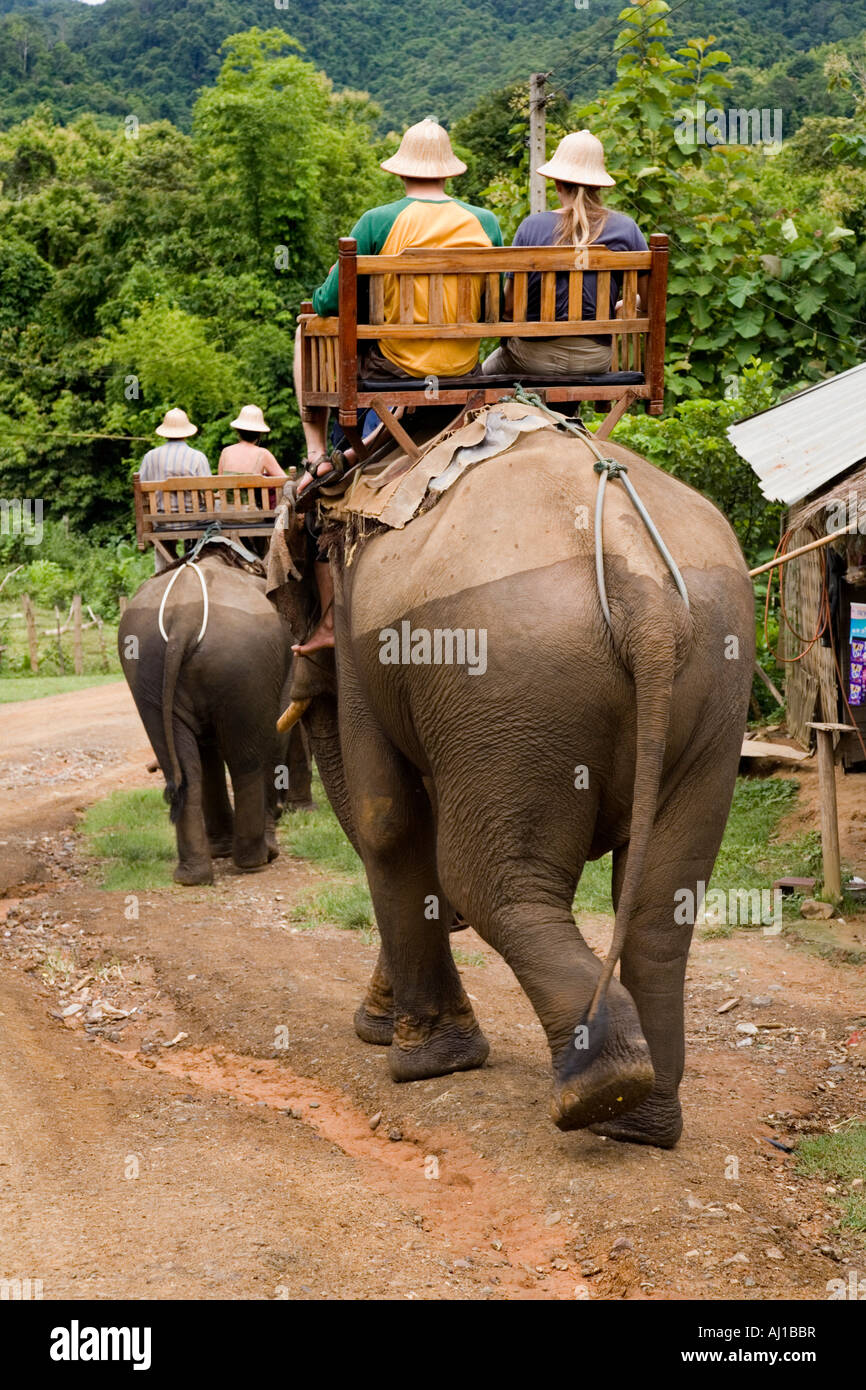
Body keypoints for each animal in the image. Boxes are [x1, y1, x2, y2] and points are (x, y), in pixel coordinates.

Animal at [119, 547, 309, 885]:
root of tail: (184, 618)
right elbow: (276, 733)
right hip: (243, 663)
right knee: (246, 760)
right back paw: (256, 859)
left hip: (146, 668)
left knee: (184, 769)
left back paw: (192, 875)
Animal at [270, 412, 754, 1149]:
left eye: (289, 605)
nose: (372, 1026)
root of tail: (640, 585)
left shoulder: (364, 639)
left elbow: (388, 823)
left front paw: (422, 1064)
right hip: (713, 686)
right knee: (660, 906)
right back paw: (640, 1119)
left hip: (510, 684)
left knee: (490, 881)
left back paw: (599, 1088)